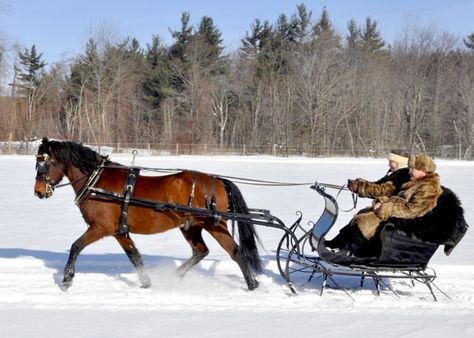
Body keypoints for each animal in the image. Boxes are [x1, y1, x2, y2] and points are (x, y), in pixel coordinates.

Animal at [33, 137, 262, 290]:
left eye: (43, 164)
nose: (38, 192)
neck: (97, 182)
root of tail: (217, 181)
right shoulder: (119, 231)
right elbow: (135, 257)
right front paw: (146, 283)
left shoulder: (100, 227)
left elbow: (76, 246)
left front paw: (67, 279)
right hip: (191, 226)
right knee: (200, 251)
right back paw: (175, 276)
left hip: (214, 225)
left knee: (236, 252)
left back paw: (252, 284)